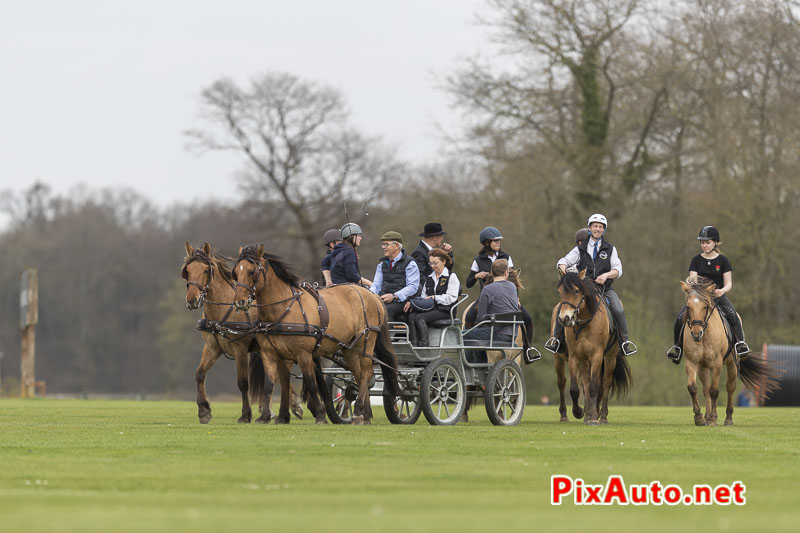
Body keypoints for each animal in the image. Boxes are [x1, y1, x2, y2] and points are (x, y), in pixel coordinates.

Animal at [181, 242, 304, 424]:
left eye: (205, 270)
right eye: (187, 270)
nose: (192, 299)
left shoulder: (240, 348)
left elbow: (242, 382)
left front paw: (245, 414)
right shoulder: (212, 347)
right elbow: (200, 374)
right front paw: (204, 411)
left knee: (280, 377)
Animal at [231, 244, 400, 424]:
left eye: (252, 271)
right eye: (235, 272)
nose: (239, 301)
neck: (284, 309)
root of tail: (372, 296)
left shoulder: (304, 354)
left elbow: (311, 383)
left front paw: (320, 414)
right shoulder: (270, 353)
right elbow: (271, 384)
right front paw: (269, 416)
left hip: (366, 342)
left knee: (367, 373)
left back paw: (359, 410)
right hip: (349, 348)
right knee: (359, 375)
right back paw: (364, 414)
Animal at [552, 270, 628, 424]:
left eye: (576, 290)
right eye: (559, 291)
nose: (564, 318)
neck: (585, 323)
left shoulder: (597, 355)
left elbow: (594, 386)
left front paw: (593, 417)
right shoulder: (575, 357)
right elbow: (575, 389)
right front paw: (579, 412)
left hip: (609, 358)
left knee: (605, 383)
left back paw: (602, 416)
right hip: (560, 358)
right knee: (563, 383)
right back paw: (569, 415)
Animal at [680, 276, 780, 426]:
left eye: (705, 306)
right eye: (688, 306)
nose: (696, 333)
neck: (705, 335)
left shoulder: (717, 362)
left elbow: (715, 391)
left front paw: (713, 419)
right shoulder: (692, 361)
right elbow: (693, 388)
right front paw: (699, 418)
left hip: (732, 363)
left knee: (730, 387)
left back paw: (728, 418)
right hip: (703, 366)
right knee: (705, 389)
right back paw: (707, 417)